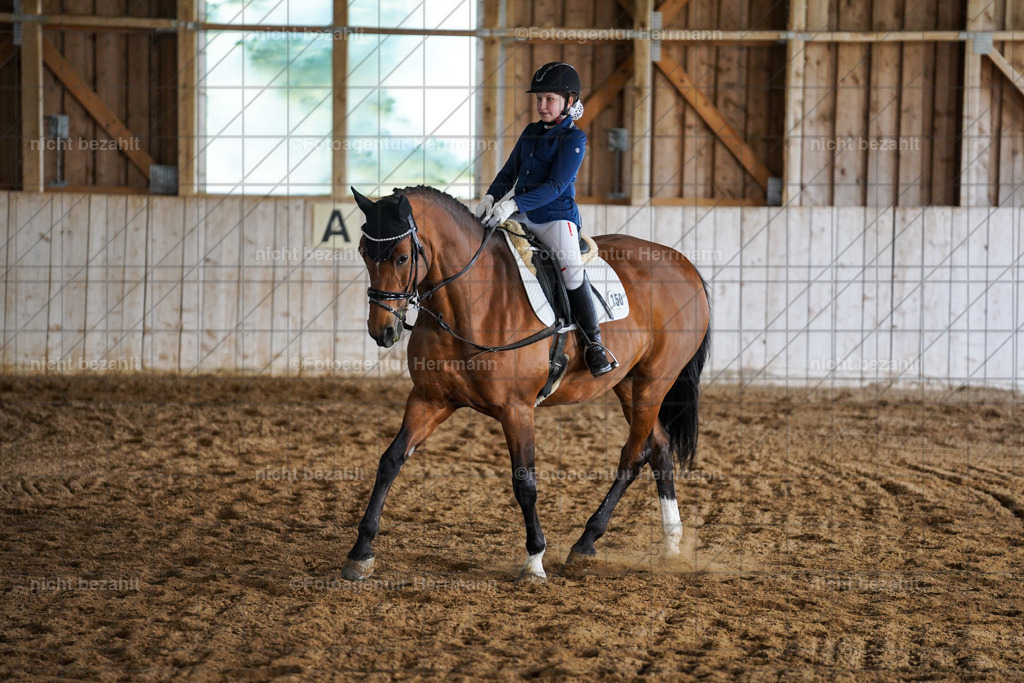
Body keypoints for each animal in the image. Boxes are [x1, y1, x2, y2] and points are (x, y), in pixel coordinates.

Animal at [342, 185, 711, 583]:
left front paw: (534, 560)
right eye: (364, 252)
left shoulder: (516, 409)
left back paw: (586, 542)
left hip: (652, 383)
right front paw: (360, 553)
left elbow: (524, 482)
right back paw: (671, 543)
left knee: (634, 455)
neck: (470, 300)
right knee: (659, 447)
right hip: (628, 384)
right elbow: (390, 461)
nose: (382, 331)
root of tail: (683, 263)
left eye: (402, 257)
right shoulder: (429, 400)